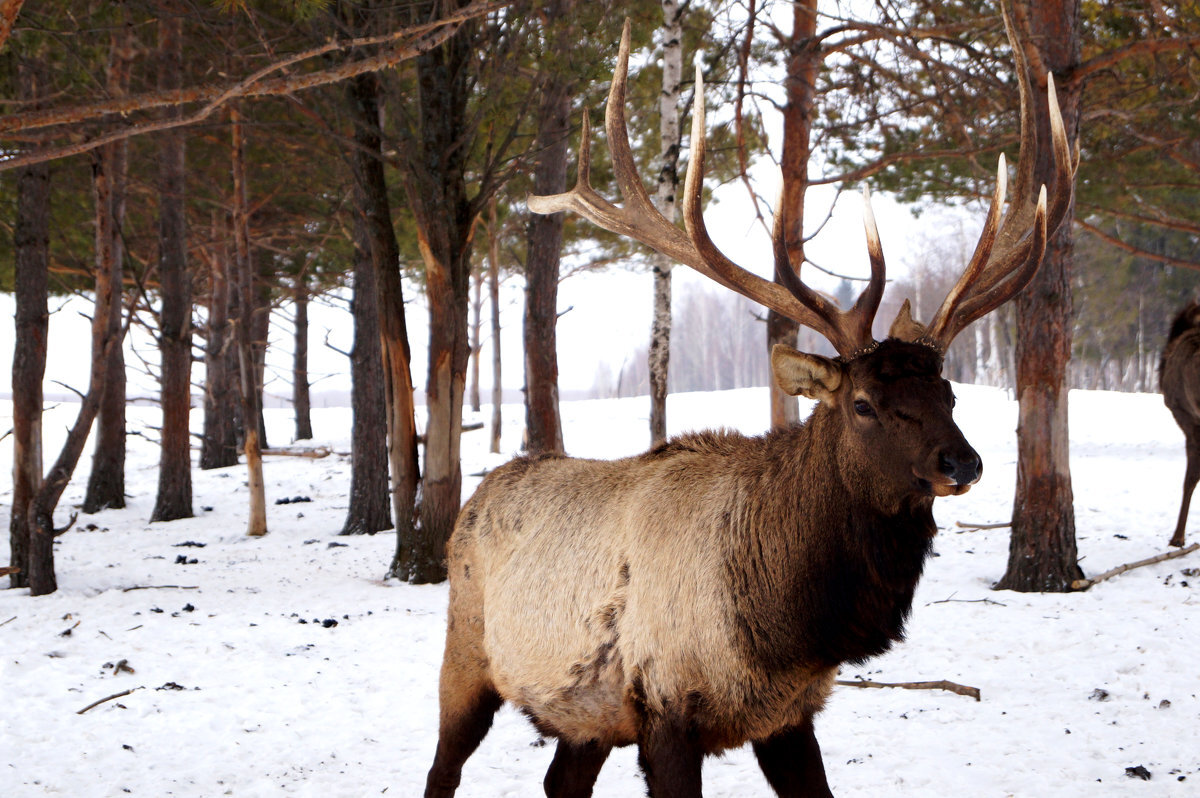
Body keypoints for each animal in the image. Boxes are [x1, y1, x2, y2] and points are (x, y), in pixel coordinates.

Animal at [427, 14, 1075, 796]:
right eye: (864, 403)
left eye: (947, 391)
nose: (963, 462)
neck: (787, 627)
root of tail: (478, 496)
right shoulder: (666, 709)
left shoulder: (789, 715)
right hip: (465, 656)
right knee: (443, 766)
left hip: (586, 714)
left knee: (560, 781)